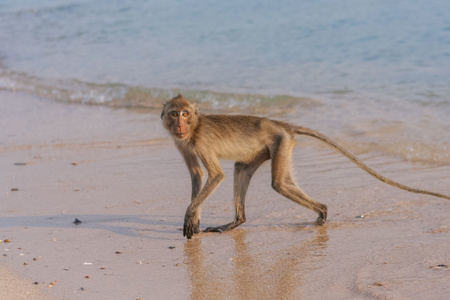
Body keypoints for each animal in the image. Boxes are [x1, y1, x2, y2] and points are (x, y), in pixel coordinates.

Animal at [161, 94, 450, 239]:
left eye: (185, 113)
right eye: (175, 114)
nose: (179, 124)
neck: (194, 129)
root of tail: (281, 124)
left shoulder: (200, 142)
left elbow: (216, 175)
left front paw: (190, 213)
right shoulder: (183, 144)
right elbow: (197, 175)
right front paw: (194, 216)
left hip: (280, 141)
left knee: (278, 184)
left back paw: (322, 212)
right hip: (270, 147)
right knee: (242, 169)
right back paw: (236, 222)